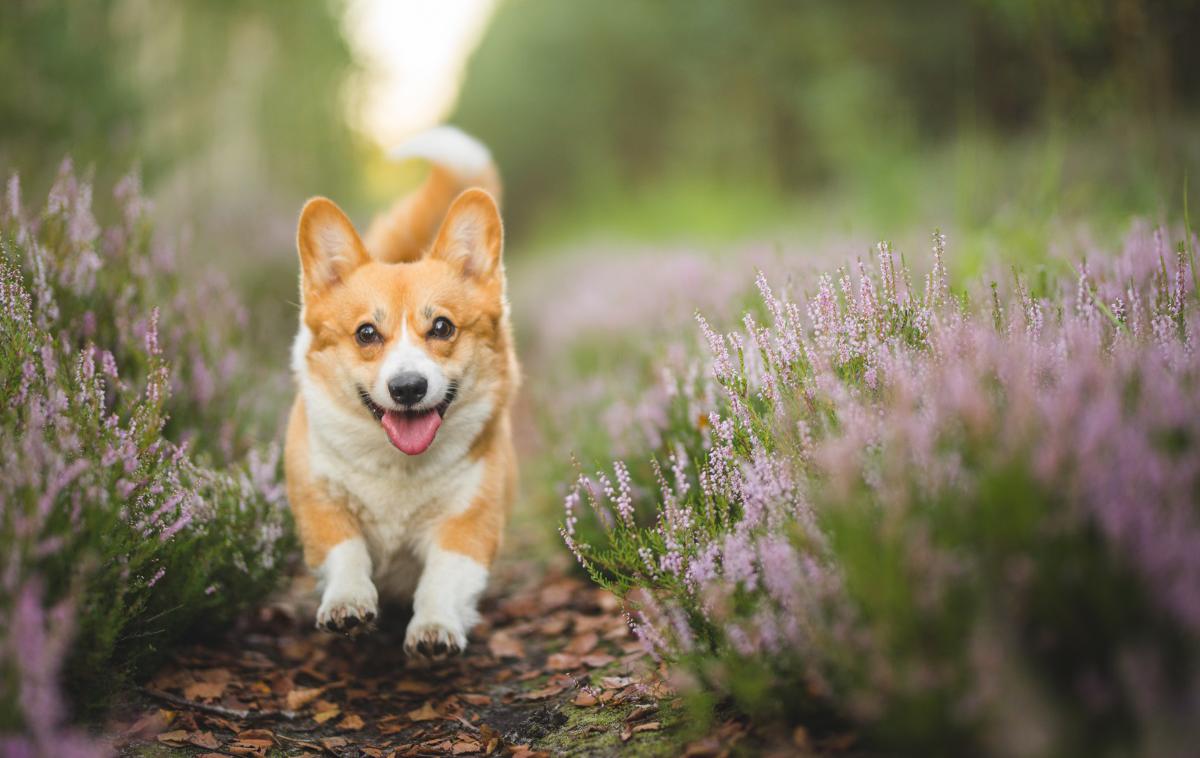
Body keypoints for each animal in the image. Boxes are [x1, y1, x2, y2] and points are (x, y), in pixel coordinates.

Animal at [290, 125, 520, 657]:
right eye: (366, 333)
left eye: (442, 327)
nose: (408, 388)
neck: (398, 466)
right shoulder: (320, 502)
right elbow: (347, 552)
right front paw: (347, 604)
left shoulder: (468, 522)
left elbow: (442, 578)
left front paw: (434, 628)